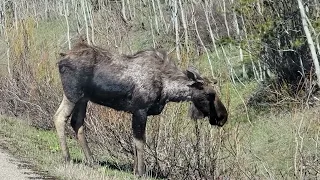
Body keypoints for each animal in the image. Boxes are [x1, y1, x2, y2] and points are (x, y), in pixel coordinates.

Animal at [53, 39, 228, 176]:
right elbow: (140, 142)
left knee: (77, 123)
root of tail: (61, 59)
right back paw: (67, 158)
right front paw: (141, 171)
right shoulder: (140, 110)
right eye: (210, 94)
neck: (167, 89)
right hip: (72, 94)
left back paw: (91, 160)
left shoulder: (137, 113)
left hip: (83, 99)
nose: (223, 117)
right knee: (59, 117)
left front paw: (135, 170)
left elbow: (135, 141)